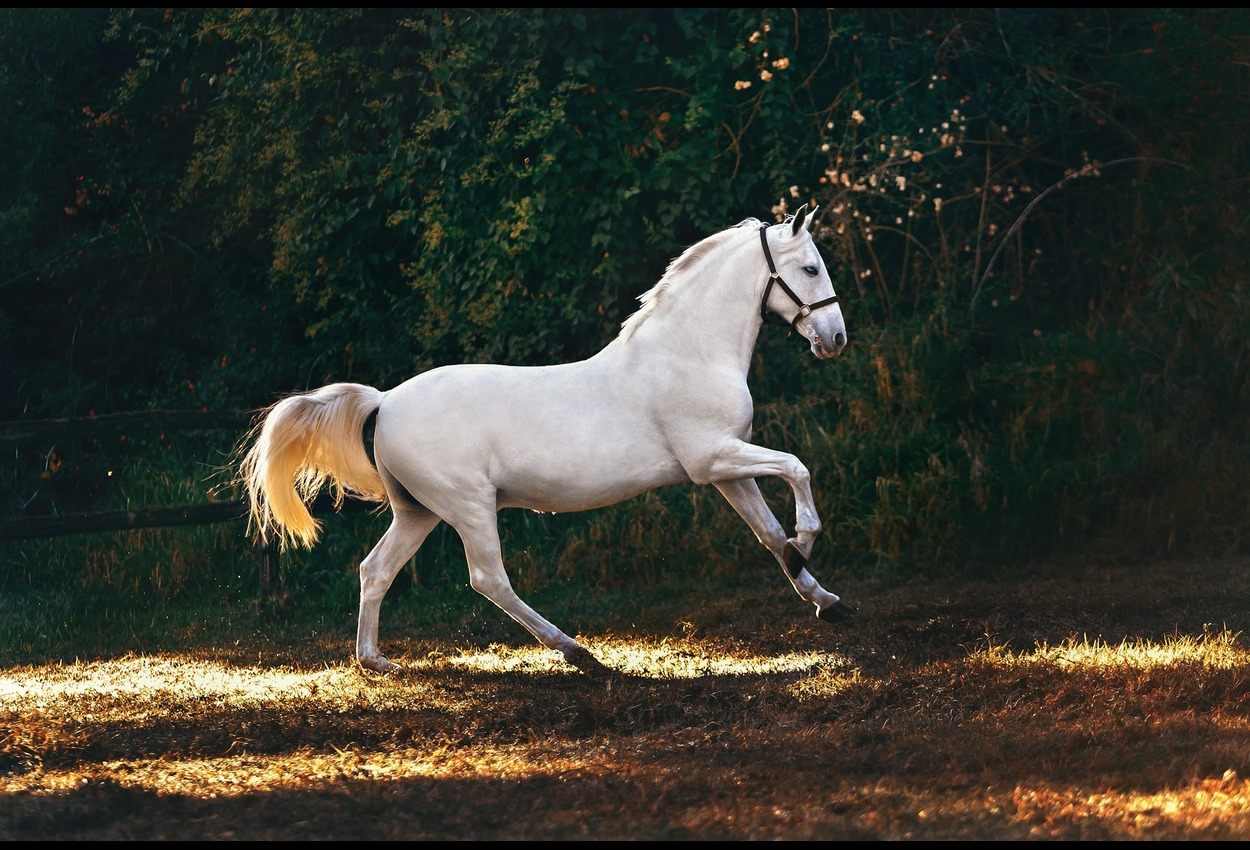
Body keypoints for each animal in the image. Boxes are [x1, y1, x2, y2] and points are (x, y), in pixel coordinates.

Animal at [239, 204, 854, 676]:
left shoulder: (728, 469)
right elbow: (796, 468)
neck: (690, 353)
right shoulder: (713, 459)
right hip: (468, 505)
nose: (835, 339)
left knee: (376, 570)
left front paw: (825, 599)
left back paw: (375, 660)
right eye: (810, 268)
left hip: (418, 511)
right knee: (488, 578)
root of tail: (385, 401)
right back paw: (577, 652)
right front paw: (807, 540)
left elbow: (768, 534)